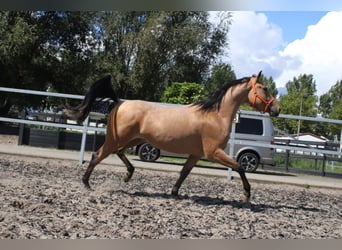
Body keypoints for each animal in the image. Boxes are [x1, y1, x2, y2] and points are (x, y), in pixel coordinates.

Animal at [65, 71, 280, 202]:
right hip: (116, 138)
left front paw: (175, 193)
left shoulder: (196, 154)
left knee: (118, 153)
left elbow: (184, 173)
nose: (277, 109)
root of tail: (119, 103)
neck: (215, 116)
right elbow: (239, 167)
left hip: (134, 140)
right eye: (264, 88)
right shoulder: (213, 153)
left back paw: (128, 175)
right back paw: (86, 183)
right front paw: (246, 195)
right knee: (97, 155)